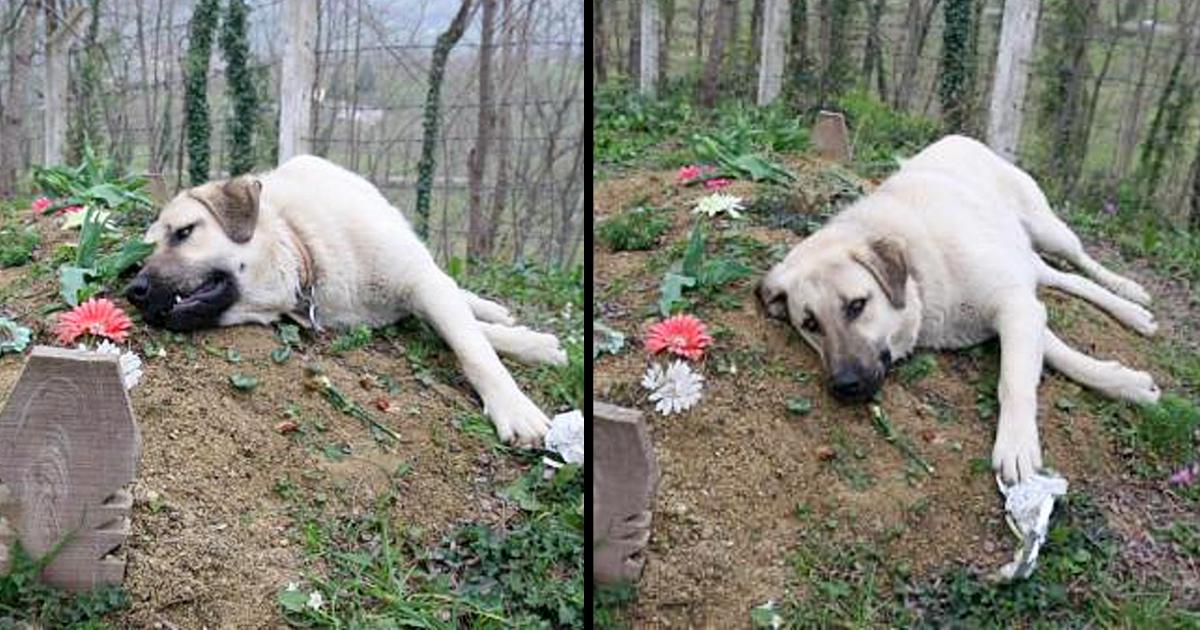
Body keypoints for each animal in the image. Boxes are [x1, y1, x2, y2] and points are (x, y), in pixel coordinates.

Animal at [124, 154, 568, 444]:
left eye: (184, 232)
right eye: (143, 255)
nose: (134, 292)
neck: (304, 249)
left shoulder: (420, 283)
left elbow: (473, 347)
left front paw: (515, 403)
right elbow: (467, 334)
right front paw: (532, 345)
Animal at [758, 135, 1161, 482]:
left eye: (857, 305)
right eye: (810, 324)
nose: (845, 386)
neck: (919, 273)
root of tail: (958, 137)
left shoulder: (1014, 305)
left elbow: (1014, 379)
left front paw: (1017, 443)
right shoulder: (1020, 305)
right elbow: (1060, 354)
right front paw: (1123, 381)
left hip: (1049, 231)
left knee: (1081, 261)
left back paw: (1129, 294)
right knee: (1062, 278)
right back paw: (1132, 313)